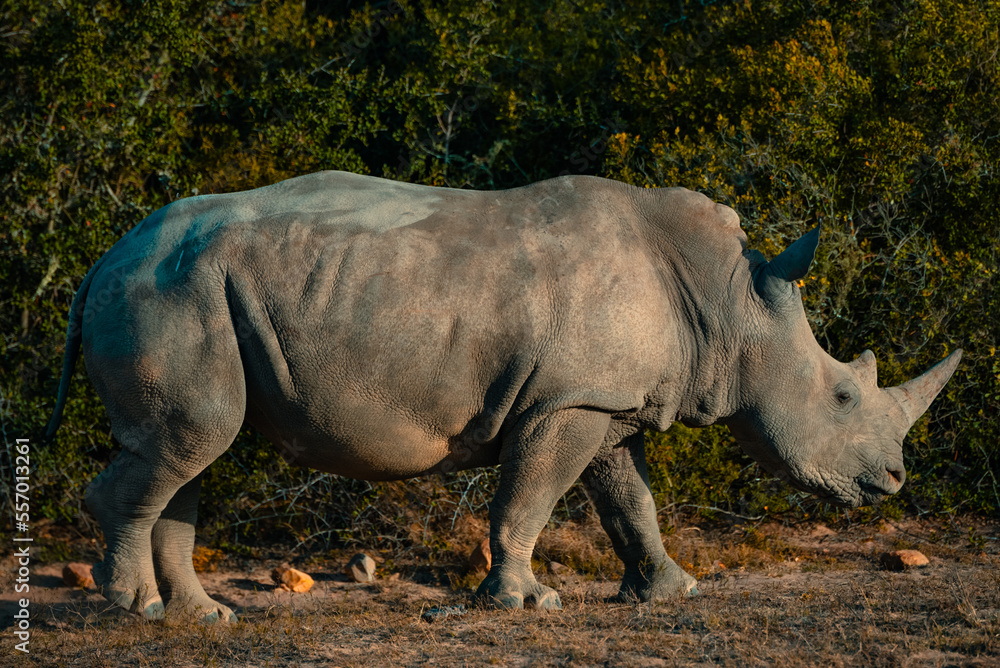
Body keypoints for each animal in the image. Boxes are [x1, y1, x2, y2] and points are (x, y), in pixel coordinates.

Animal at [46, 171, 961, 623]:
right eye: (842, 397)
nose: (893, 482)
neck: (731, 302)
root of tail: (104, 256)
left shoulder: (606, 402)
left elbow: (630, 501)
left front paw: (672, 593)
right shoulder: (567, 401)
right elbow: (529, 499)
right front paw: (527, 603)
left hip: (187, 289)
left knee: (189, 448)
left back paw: (203, 619)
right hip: (167, 293)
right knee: (187, 445)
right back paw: (138, 613)